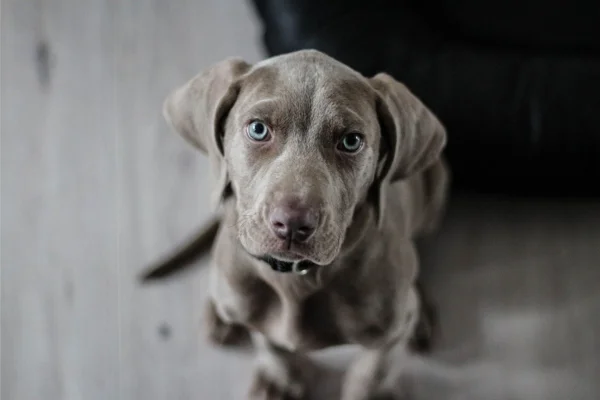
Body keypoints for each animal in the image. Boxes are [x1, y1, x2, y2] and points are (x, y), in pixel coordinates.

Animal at [142, 48, 450, 398]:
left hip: (437, 185)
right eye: (258, 129)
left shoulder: (389, 332)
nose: (291, 224)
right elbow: (268, 342)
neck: (295, 279)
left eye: (351, 141)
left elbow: (374, 370)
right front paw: (281, 379)